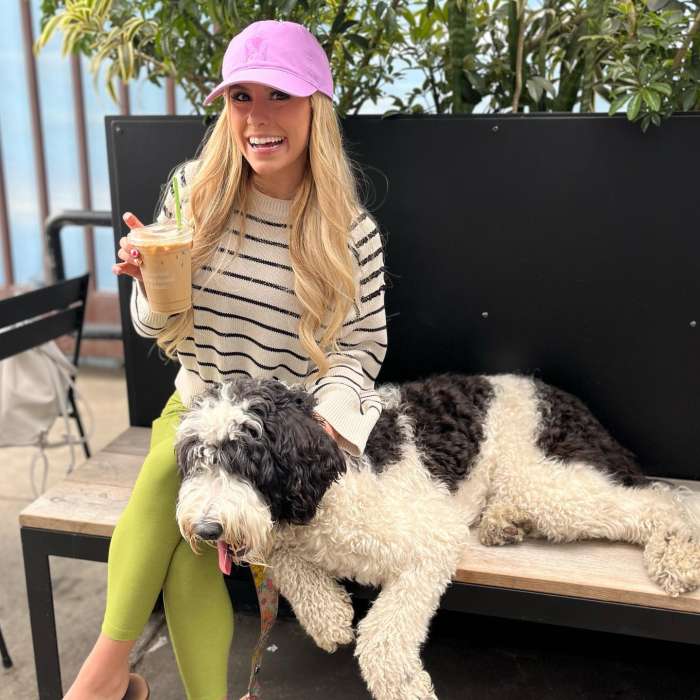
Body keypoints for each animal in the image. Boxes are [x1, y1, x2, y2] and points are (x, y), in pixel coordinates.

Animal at [174, 374, 700, 700]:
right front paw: (329, 618)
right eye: (196, 459)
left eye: (244, 457)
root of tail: (575, 406)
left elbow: (382, 635)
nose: (205, 529)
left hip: (552, 485)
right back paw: (504, 521)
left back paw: (678, 559)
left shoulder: (429, 543)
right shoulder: (289, 538)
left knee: (661, 502)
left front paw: (404, 686)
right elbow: (285, 559)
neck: (326, 491)